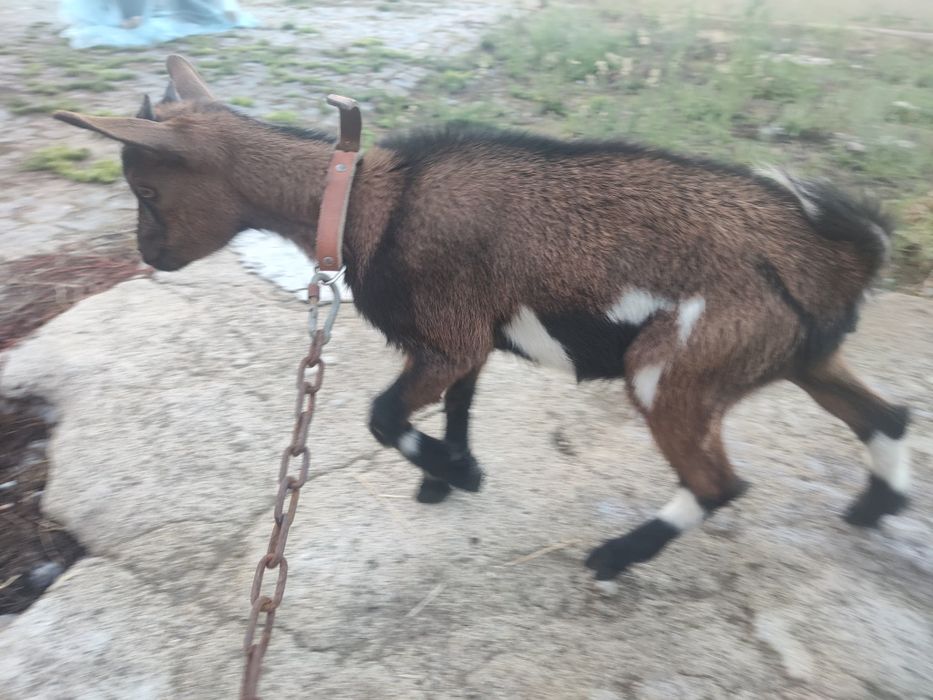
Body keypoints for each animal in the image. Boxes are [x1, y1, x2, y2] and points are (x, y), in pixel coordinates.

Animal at [54, 55, 912, 584]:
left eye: (147, 190)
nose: (150, 254)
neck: (366, 202)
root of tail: (836, 255)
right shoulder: (467, 341)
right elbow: (458, 405)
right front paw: (448, 474)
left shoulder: (447, 334)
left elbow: (381, 415)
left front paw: (455, 472)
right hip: (795, 354)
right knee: (886, 415)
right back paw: (876, 507)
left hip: (676, 366)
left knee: (719, 482)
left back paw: (613, 557)